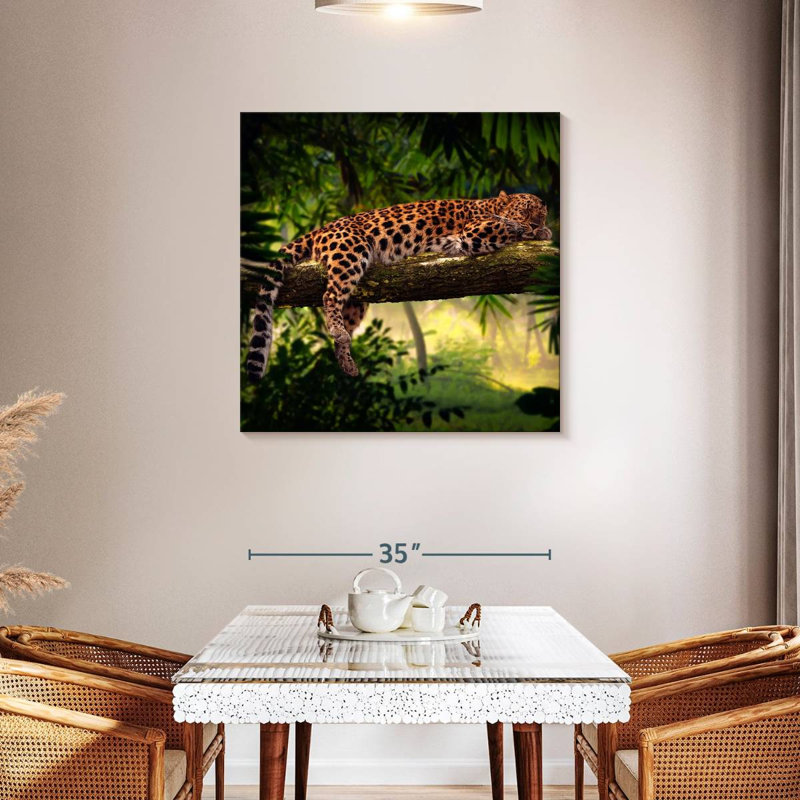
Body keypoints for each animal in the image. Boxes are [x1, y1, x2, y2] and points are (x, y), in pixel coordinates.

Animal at [245, 190, 552, 383]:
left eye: (543, 213)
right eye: (526, 210)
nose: (539, 223)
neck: (490, 206)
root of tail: (322, 228)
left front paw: (543, 231)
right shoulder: (475, 232)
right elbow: (508, 226)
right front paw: (534, 230)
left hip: (357, 298)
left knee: (344, 314)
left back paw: (346, 361)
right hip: (350, 251)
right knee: (329, 294)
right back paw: (337, 331)